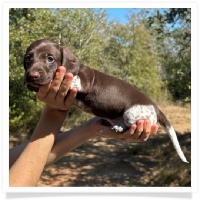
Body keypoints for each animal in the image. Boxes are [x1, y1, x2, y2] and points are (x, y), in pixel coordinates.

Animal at [23, 39, 189, 162]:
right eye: (28, 58)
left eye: (50, 58)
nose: (32, 75)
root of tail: (156, 107)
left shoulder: (82, 82)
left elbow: (67, 78)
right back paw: (118, 127)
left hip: (132, 113)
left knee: (132, 123)